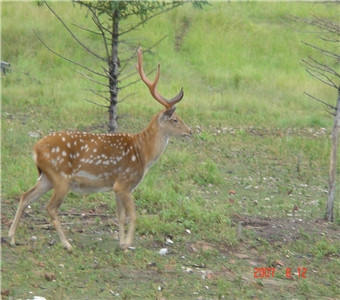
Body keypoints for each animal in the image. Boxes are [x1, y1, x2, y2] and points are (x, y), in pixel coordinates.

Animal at [8, 48, 191, 251]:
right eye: (175, 120)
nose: (190, 131)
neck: (143, 153)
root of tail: (35, 149)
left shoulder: (116, 186)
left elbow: (120, 216)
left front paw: (121, 243)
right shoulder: (124, 182)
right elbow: (133, 215)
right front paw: (128, 244)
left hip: (47, 177)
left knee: (25, 196)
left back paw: (12, 238)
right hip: (61, 177)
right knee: (51, 207)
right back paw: (67, 244)